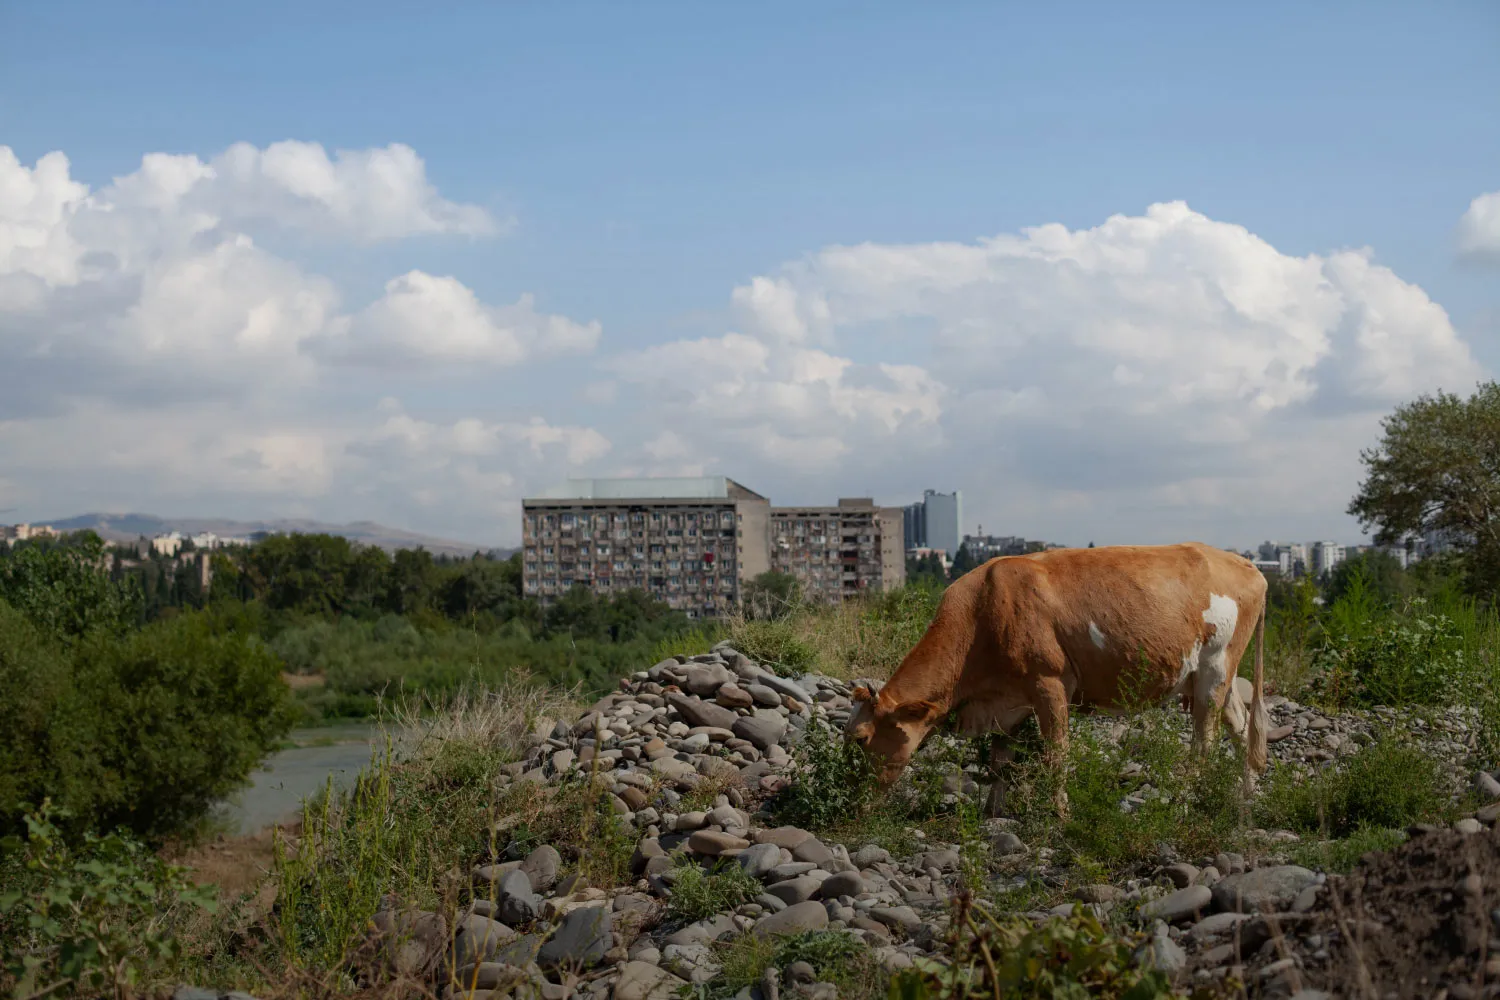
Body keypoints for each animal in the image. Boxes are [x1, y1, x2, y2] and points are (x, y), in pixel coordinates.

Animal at [846, 542, 1266, 815]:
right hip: (1216, 673)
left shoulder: (1048, 683)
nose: (854, 801)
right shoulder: (1009, 701)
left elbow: (1056, 754)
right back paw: (1248, 795)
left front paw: (1059, 813)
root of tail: (1247, 566)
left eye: (861, 738)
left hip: (1215, 666)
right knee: (1241, 726)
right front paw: (992, 813)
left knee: (1204, 740)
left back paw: (1182, 802)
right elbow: (1000, 761)